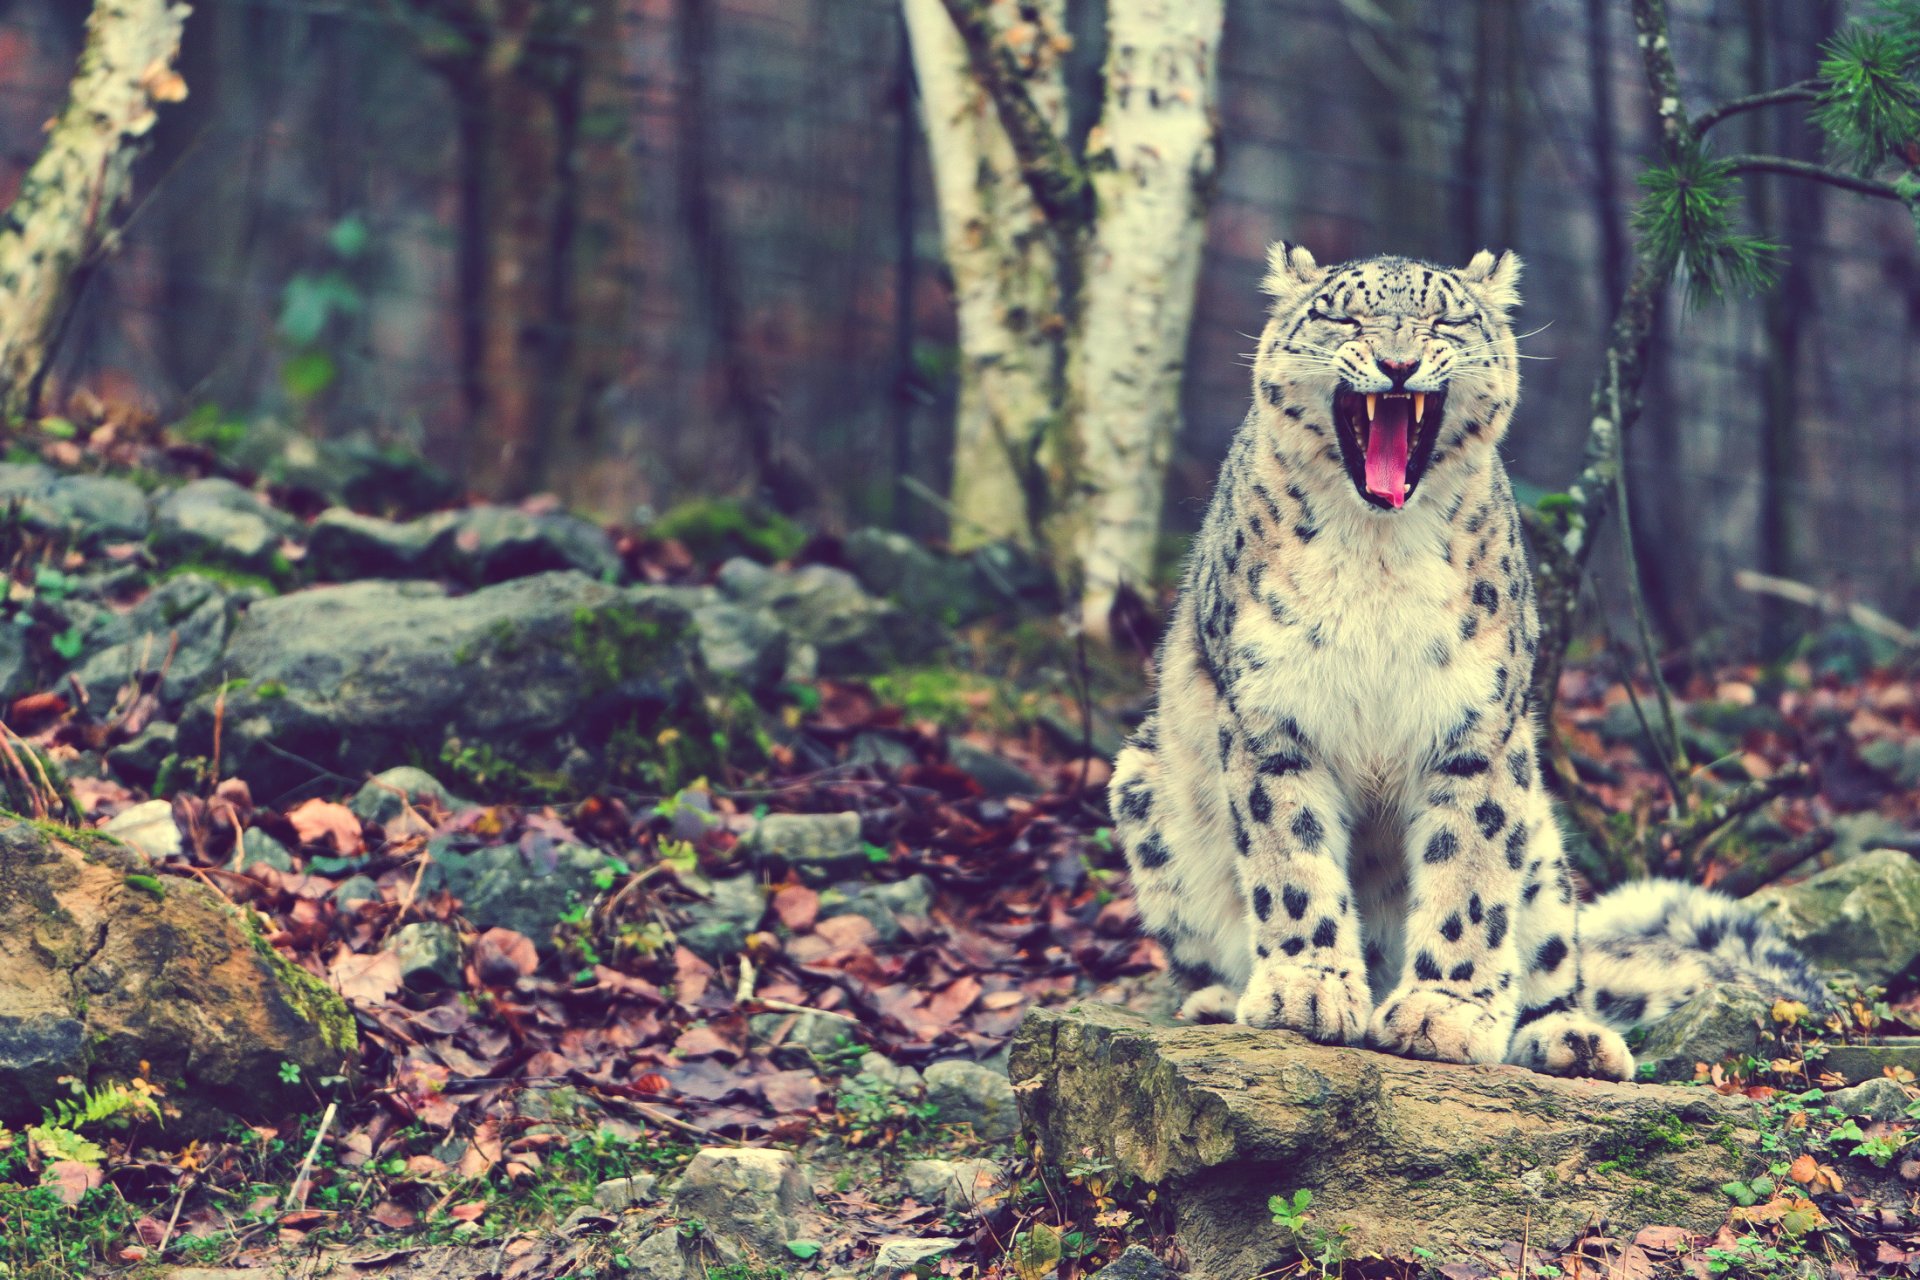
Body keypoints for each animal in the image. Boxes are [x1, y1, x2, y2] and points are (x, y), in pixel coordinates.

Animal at [1108, 245, 1825, 1079]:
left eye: (1445, 319)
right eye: (1343, 315)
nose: (1398, 363)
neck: (1379, 552)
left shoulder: (1476, 727)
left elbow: (1470, 875)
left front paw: (1442, 1015)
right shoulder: (1272, 716)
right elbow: (1292, 860)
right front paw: (1307, 991)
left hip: (1542, 842)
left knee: (1555, 958)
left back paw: (1570, 1038)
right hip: (1143, 787)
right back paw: (1223, 999)